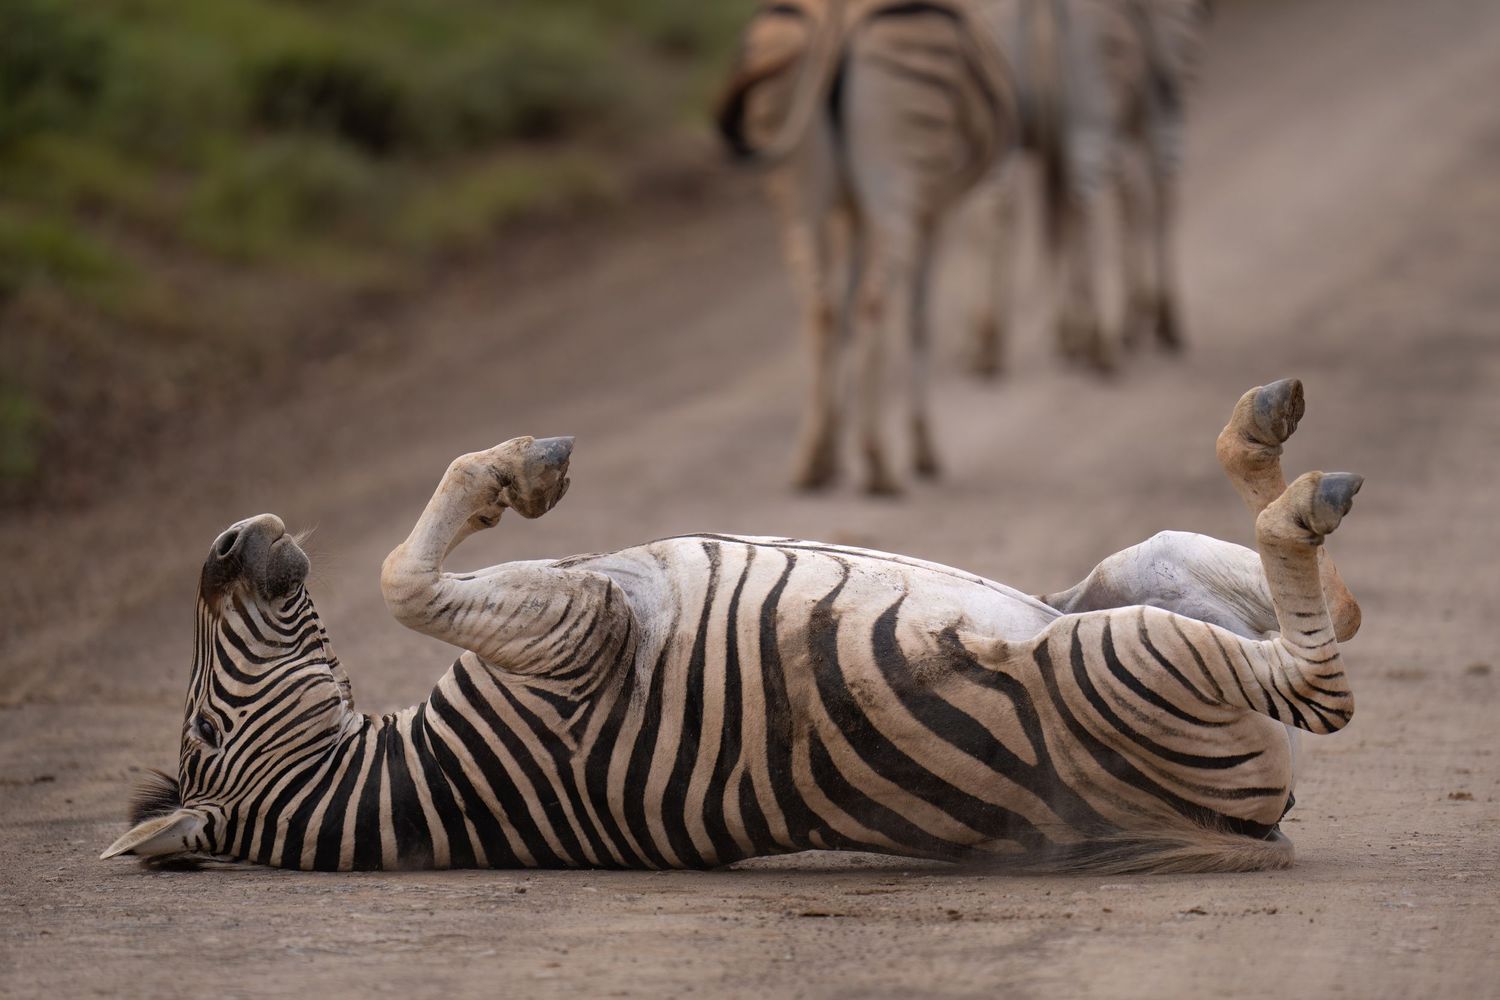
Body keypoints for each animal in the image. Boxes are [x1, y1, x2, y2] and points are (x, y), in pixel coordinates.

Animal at [104, 378, 1363, 873]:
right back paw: (1299, 496)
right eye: (203, 727)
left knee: (1330, 607)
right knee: (1323, 679)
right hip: (1124, 651)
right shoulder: (586, 629)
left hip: (1134, 578)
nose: (228, 539)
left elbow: (398, 573)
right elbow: (398, 579)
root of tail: (1249, 816)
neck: (444, 778)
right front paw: (517, 473)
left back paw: (1268, 447)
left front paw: (518, 466)